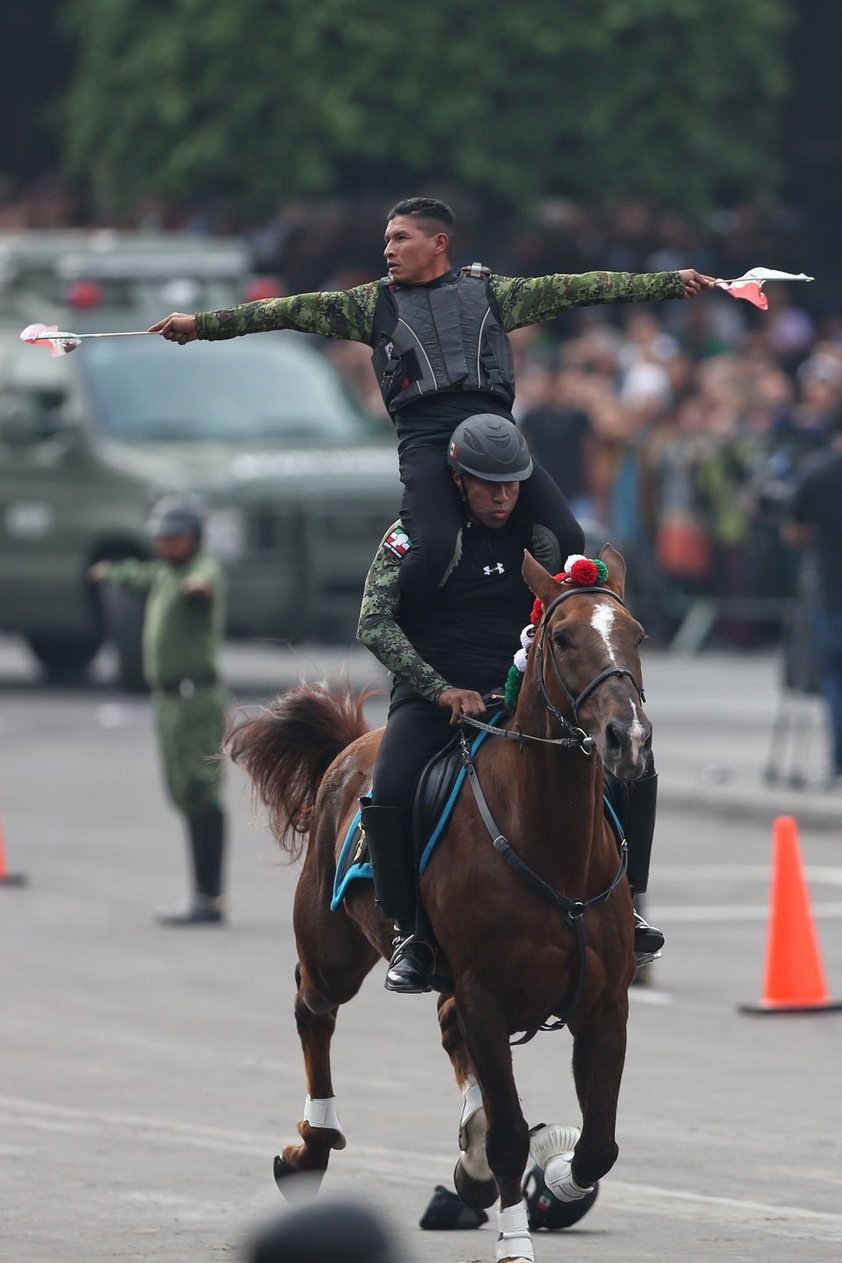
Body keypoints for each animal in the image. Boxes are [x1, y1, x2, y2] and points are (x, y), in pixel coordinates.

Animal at [228, 545, 651, 1263]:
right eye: (563, 638)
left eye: (637, 635)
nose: (628, 737)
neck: (551, 846)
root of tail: (351, 747)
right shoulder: (486, 995)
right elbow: (511, 1133)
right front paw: (516, 1238)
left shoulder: (604, 1004)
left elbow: (598, 1144)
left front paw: (553, 1179)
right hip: (333, 947)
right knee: (314, 1009)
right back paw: (312, 1146)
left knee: (446, 1031)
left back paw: (469, 1163)